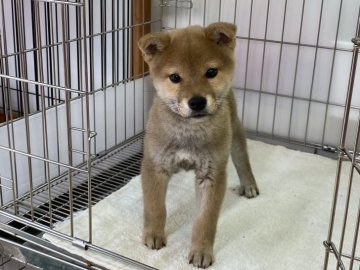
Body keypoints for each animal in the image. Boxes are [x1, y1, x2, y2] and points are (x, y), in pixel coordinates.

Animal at [138, 22, 258, 268]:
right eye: (175, 77)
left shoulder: (212, 174)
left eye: (211, 72)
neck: (189, 132)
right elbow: (155, 207)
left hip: (235, 132)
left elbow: (205, 220)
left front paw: (201, 251)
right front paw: (153, 234)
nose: (197, 102)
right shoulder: (155, 165)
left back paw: (249, 184)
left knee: (242, 159)